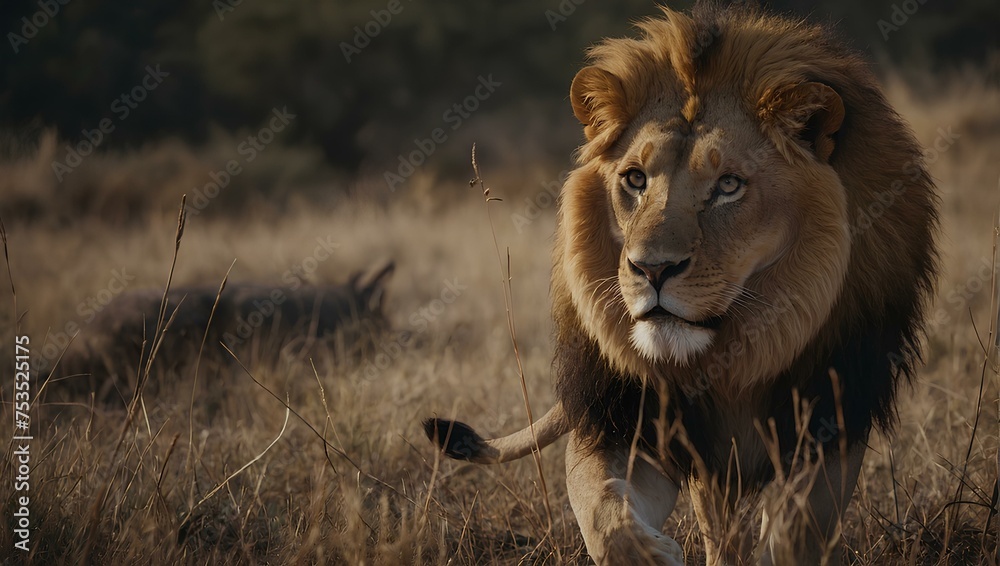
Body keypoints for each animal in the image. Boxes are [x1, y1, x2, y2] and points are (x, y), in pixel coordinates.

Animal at [424, 4, 937, 565]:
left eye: (729, 186)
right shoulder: (622, 421)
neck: (731, 361)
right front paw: (653, 553)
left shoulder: (835, 419)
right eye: (634, 179)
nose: (653, 270)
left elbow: (797, 531)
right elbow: (602, 514)